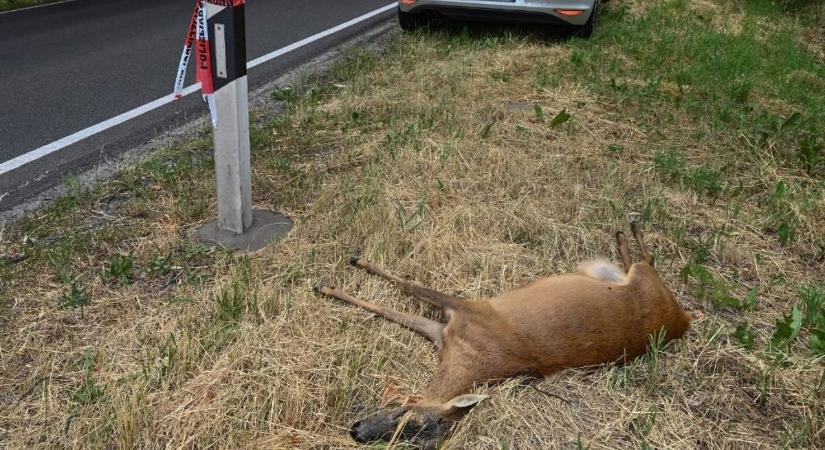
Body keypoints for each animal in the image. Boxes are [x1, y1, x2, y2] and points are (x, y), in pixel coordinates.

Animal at [314, 223, 688, 448]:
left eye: (410, 428)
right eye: (401, 414)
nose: (356, 431)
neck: (477, 360)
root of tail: (683, 320)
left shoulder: (468, 314)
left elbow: (406, 290)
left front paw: (334, 278)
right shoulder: (452, 324)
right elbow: (398, 298)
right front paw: (344, 271)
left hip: (645, 282)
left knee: (649, 260)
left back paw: (629, 229)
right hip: (638, 278)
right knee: (647, 258)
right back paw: (626, 230)